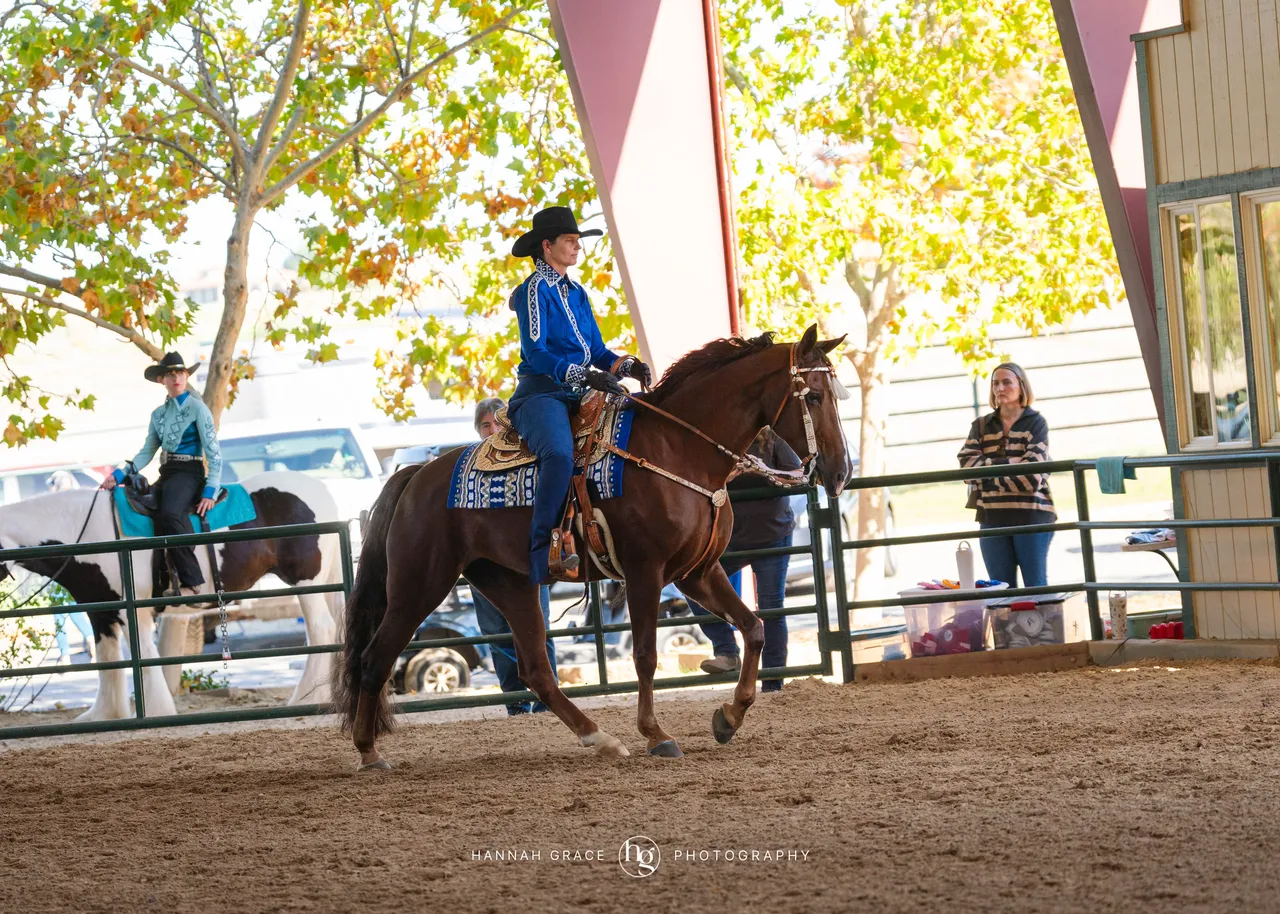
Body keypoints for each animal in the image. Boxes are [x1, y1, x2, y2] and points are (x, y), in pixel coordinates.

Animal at [0, 471, 344, 720]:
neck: (85, 534)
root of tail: (324, 490)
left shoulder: (131, 612)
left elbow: (144, 658)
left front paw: (156, 711)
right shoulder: (100, 612)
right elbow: (108, 662)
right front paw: (104, 715)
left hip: (305, 582)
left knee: (321, 630)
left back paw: (303, 698)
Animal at [335, 325, 850, 769]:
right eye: (815, 395)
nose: (841, 471)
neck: (678, 449)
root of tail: (414, 476)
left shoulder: (697, 572)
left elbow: (755, 627)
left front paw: (728, 717)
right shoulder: (645, 571)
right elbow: (646, 655)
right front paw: (656, 734)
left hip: (510, 583)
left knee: (537, 671)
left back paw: (600, 738)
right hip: (419, 585)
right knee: (375, 658)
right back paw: (367, 752)